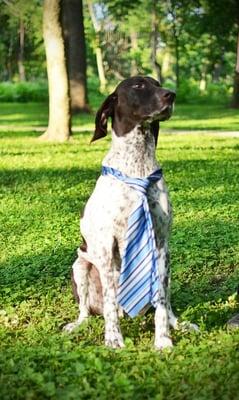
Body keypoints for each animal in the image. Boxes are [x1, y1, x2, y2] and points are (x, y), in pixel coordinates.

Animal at [64, 76, 196, 348]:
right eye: (138, 86)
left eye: (158, 83)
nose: (171, 94)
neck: (138, 166)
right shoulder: (106, 246)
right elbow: (111, 302)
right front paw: (113, 339)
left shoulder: (161, 243)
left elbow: (161, 305)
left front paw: (163, 341)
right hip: (80, 266)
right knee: (87, 310)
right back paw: (78, 324)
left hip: (167, 269)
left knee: (166, 304)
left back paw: (179, 324)